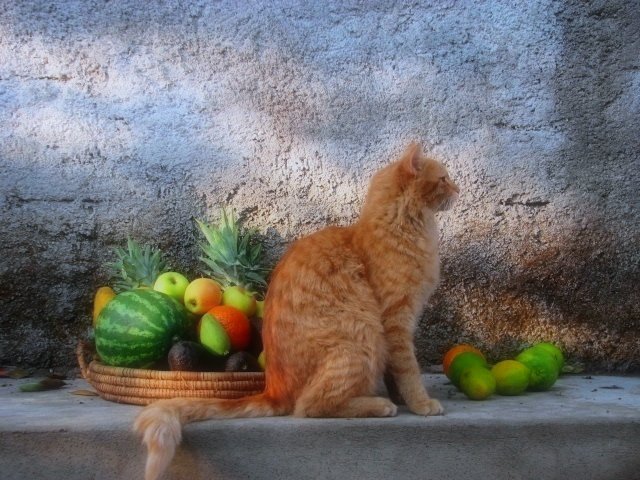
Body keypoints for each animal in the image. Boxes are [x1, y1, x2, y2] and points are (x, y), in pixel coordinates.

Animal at [135, 142, 458, 480]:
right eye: (444, 179)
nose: (459, 189)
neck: (402, 226)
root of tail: (273, 390)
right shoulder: (396, 320)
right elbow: (409, 369)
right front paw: (420, 403)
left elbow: (397, 372)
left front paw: (401, 396)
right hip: (362, 339)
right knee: (307, 407)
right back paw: (378, 405)